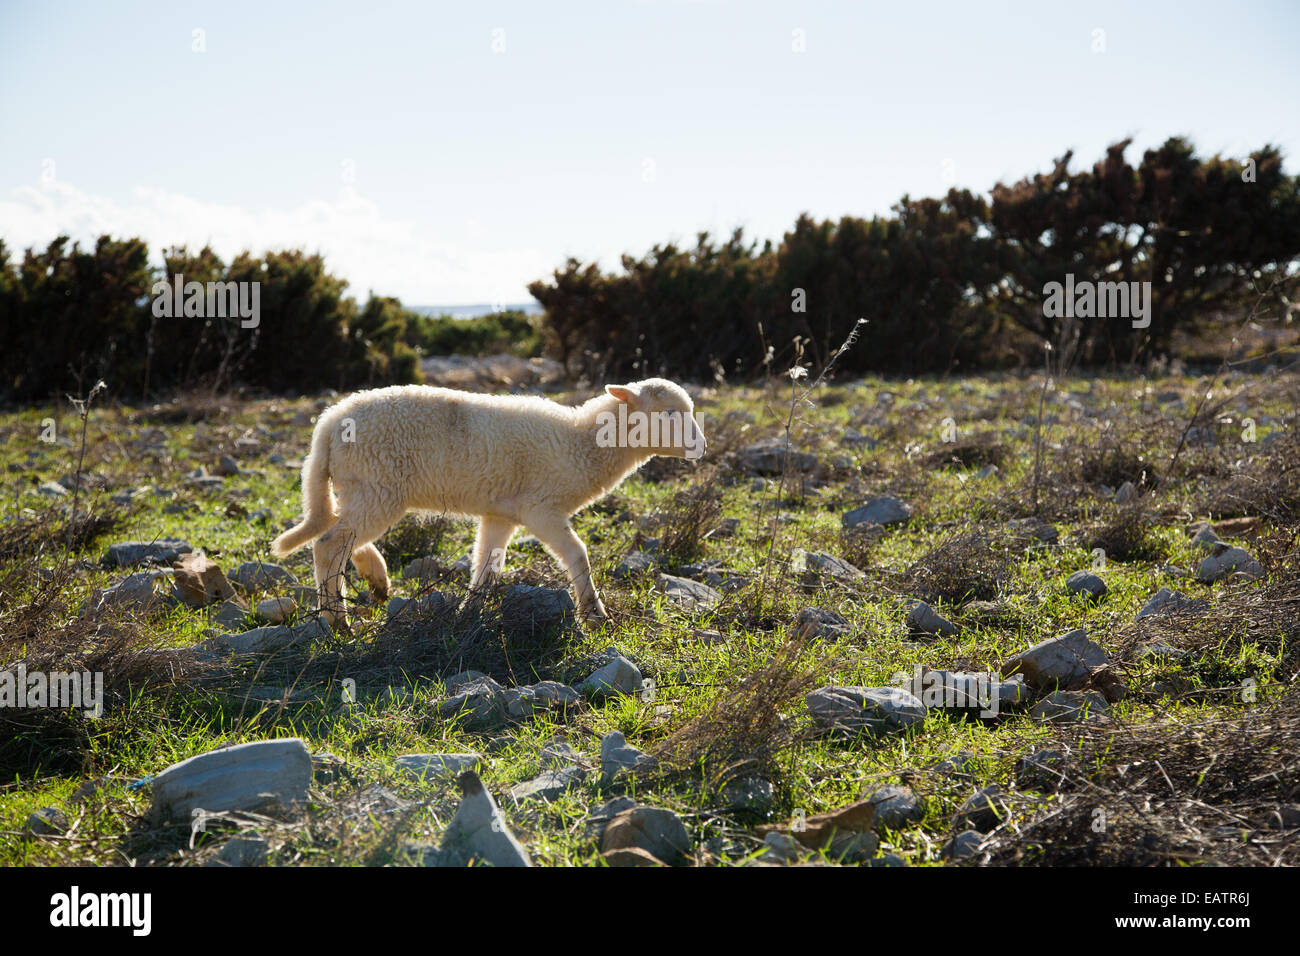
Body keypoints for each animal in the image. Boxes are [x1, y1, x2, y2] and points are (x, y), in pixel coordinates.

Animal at [267, 377, 707, 632]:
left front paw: (469, 613)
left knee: (342, 537)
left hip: (363, 489)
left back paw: (375, 577)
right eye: (670, 413)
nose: (700, 447)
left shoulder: (501, 513)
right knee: (329, 544)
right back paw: (336, 620)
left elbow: (487, 565)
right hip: (377, 485)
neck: (583, 442)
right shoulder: (540, 507)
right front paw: (594, 614)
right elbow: (577, 553)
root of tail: (328, 424)